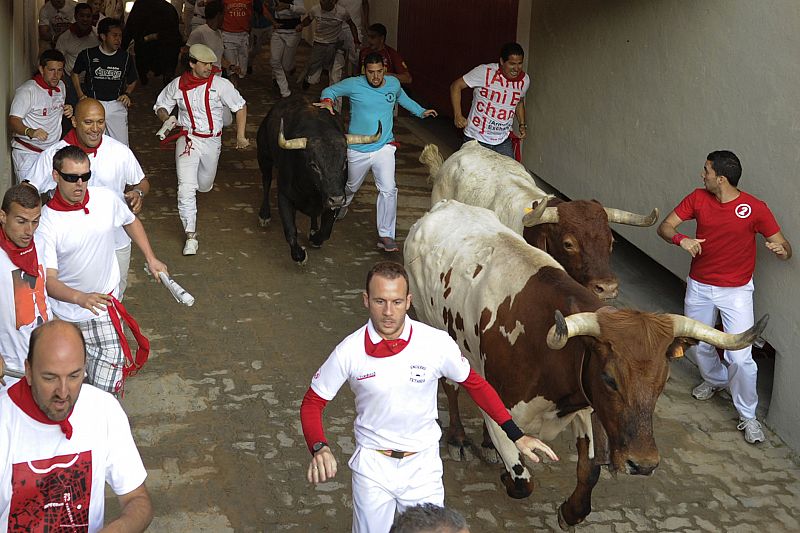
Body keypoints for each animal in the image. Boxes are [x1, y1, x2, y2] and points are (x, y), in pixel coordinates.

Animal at [256, 98, 382, 264]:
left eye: (345, 162)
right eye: (314, 165)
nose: (337, 199)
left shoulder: (332, 199)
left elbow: (326, 231)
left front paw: (315, 238)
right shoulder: (284, 195)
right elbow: (290, 231)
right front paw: (299, 255)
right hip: (264, 156)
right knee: (266, 180)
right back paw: (264, 215)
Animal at [406, 200, 768, 528]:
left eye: (662, 382)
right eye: (609, 379)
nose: (643, 463)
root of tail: (442, 207)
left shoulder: (586, 405)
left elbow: (591, 469)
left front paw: (570, 512)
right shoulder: (503, 413)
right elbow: (523, 480)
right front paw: (508, 475)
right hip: (434, 324)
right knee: (451, 387)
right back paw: (458, 439)